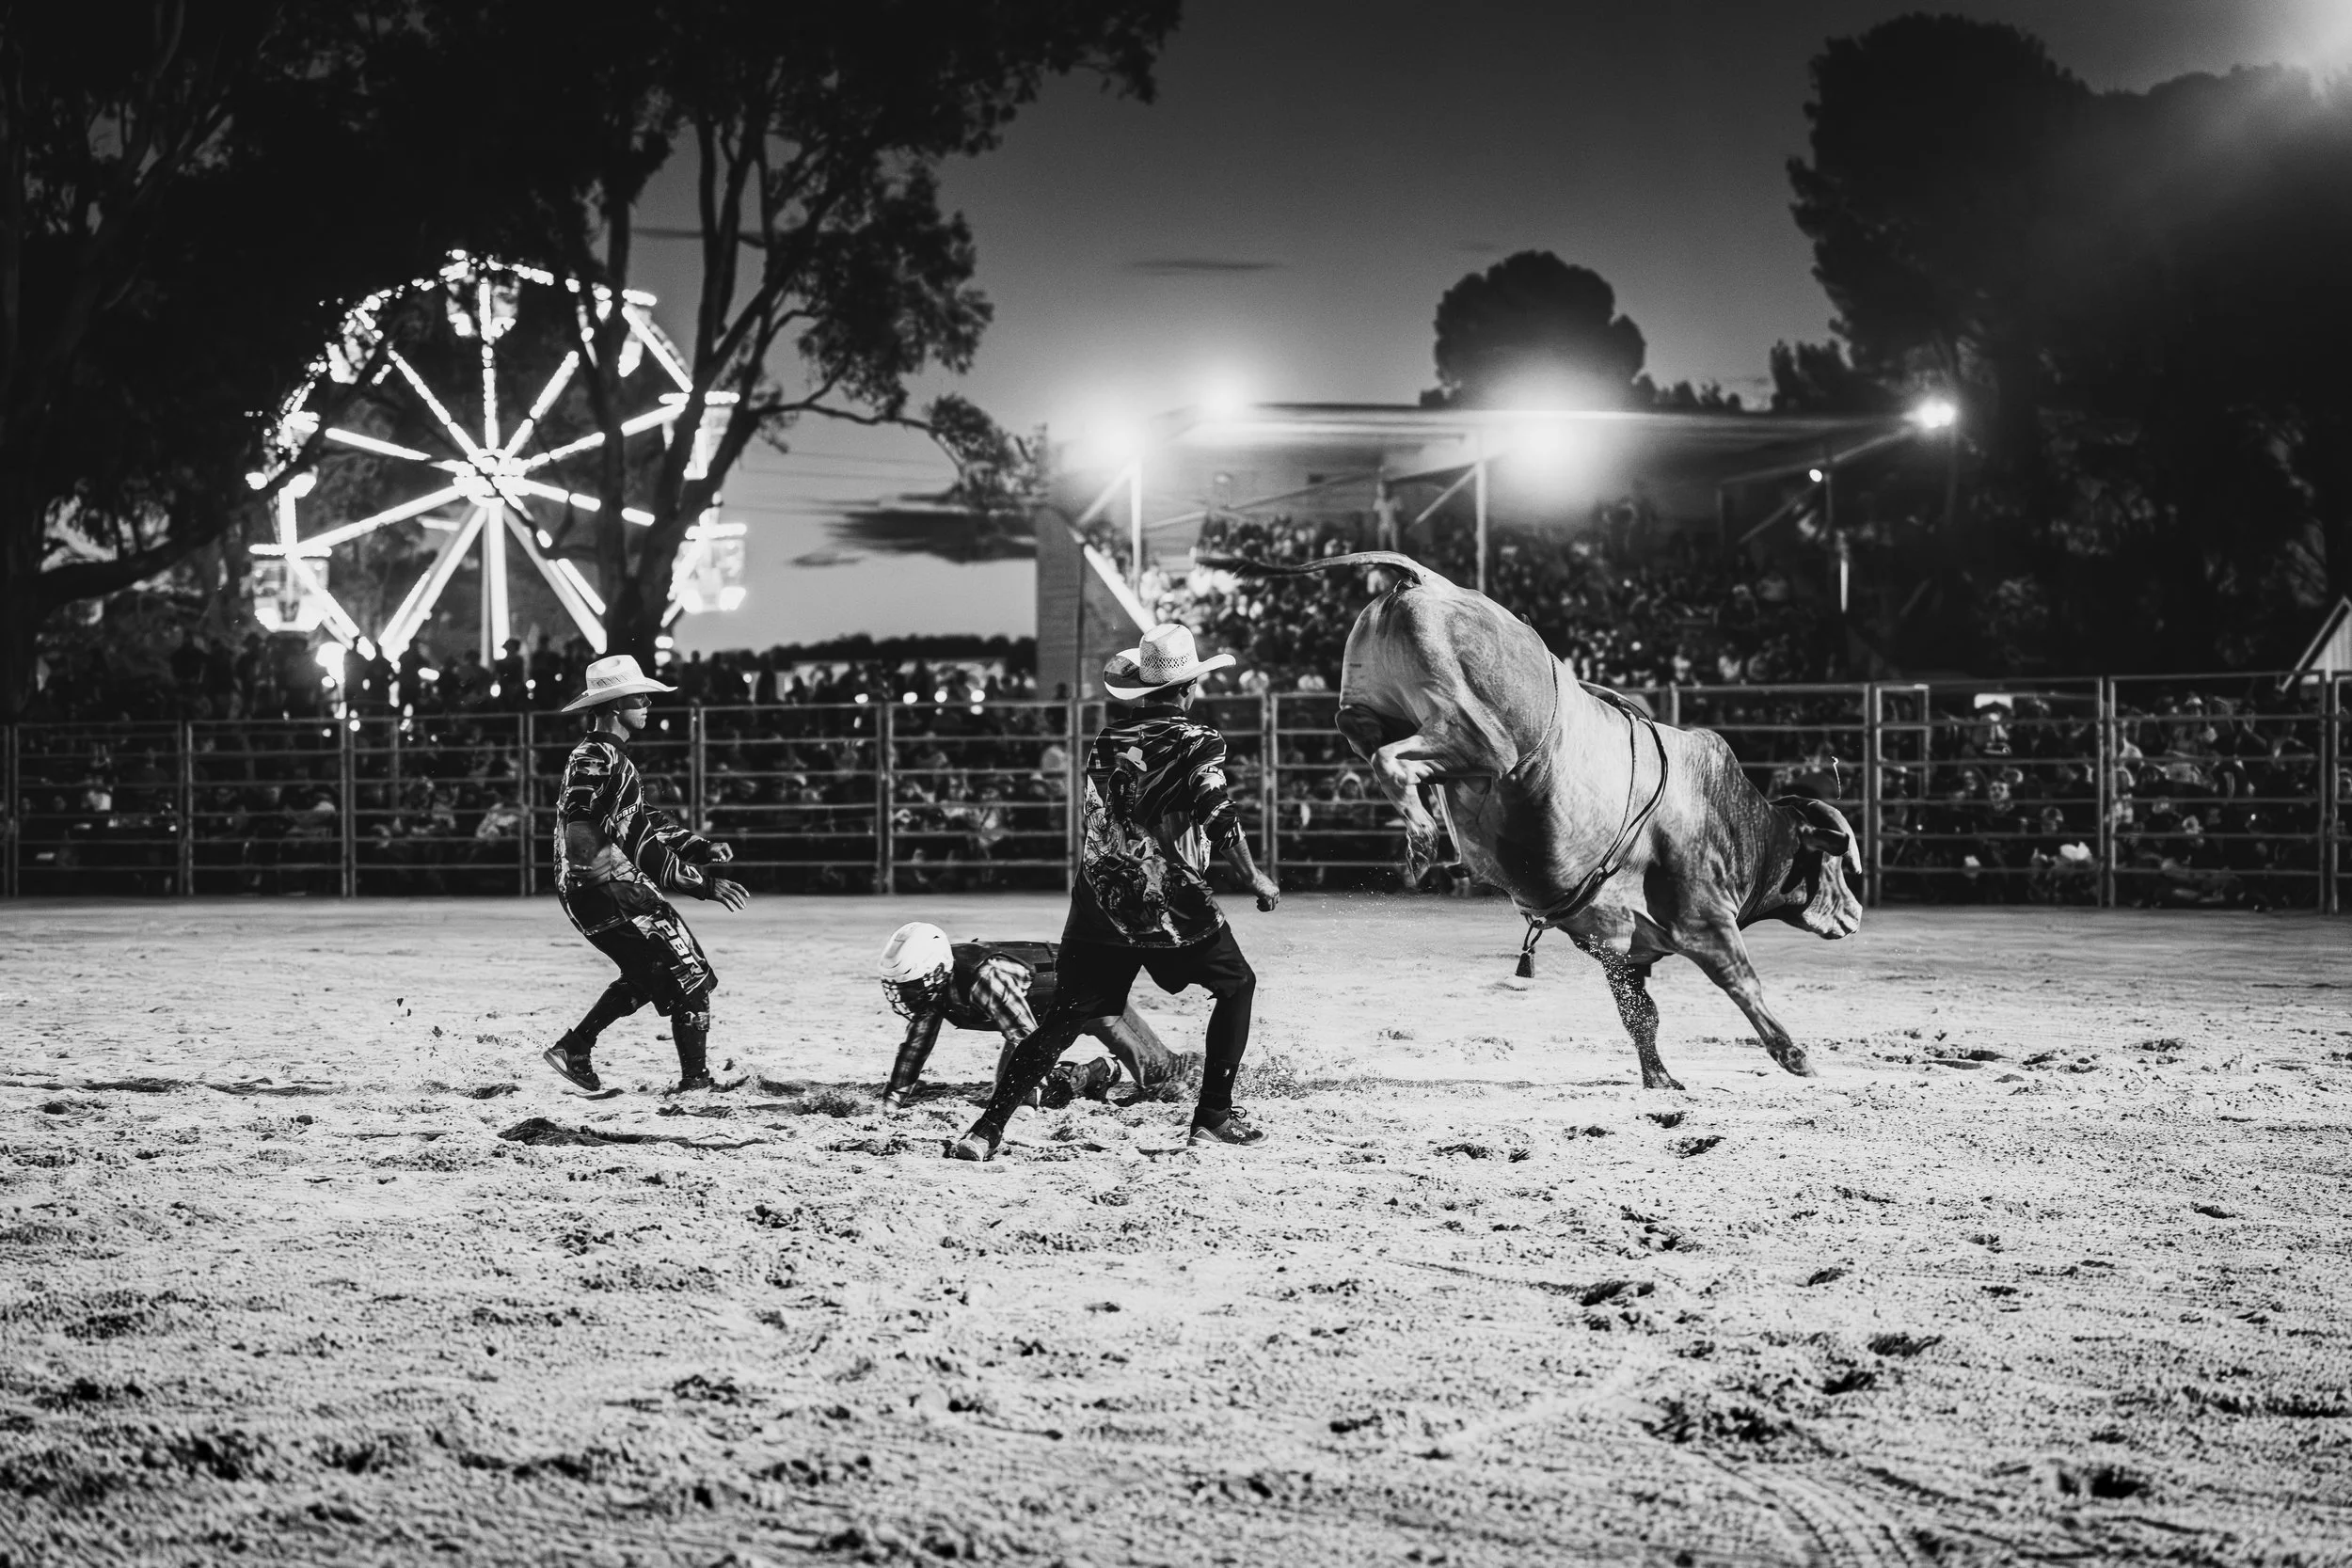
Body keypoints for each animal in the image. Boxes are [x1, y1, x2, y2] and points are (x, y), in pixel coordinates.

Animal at [1201, 549, 1862, 1090]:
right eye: (1835, 863)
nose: (1855, 911)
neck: (1728, 816)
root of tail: (1432, 582)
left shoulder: (1619, 950)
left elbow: (1639, 1014)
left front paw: (1660, 1078)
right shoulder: (1706, 920)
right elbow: (1742, 982)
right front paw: (1795, 1055)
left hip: (1371, 706)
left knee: (1366, 736)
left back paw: (1420, 835)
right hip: (1480, 737)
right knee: (1397, 760)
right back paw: (1423, 837)